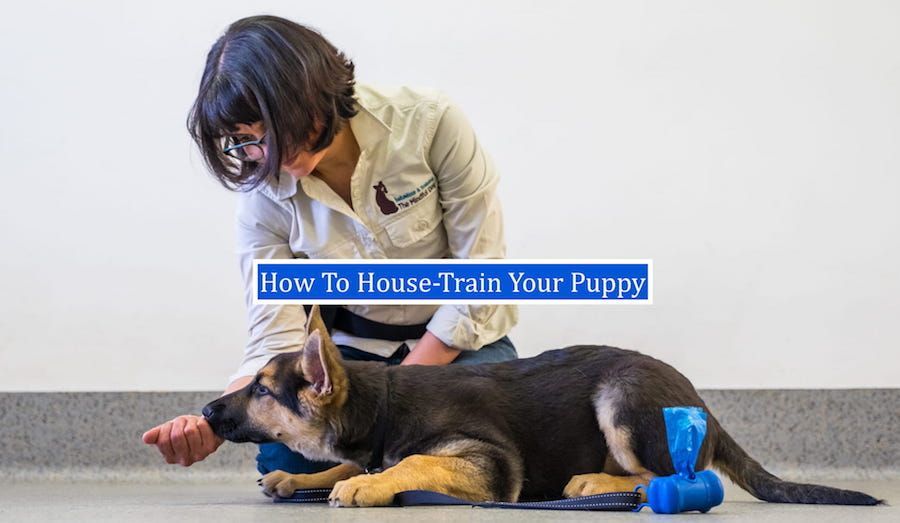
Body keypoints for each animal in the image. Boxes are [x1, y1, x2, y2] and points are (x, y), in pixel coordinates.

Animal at [202, 305, 882, 507]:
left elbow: (409, 464)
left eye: (261, 389)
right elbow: (349, 461)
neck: (385, 405)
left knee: (669, 477)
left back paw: (597, 485)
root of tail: (702, 404)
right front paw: (302, 476)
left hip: (622, 399)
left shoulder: (488, 462)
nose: (207, 412)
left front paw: (366, 487)